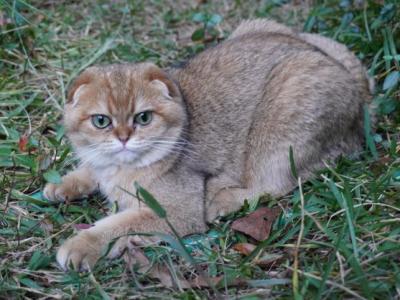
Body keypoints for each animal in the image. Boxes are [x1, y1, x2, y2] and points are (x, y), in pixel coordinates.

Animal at [43, 19, 372, 270]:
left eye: (144, 117)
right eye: (101, 121)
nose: (124, 138)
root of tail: (356, 88)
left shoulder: (173, 213)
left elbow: (117, 225)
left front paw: (83, 244)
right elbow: (90, 168)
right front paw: (64, 183)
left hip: (278, 125)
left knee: (272, 184)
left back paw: (222, 200)